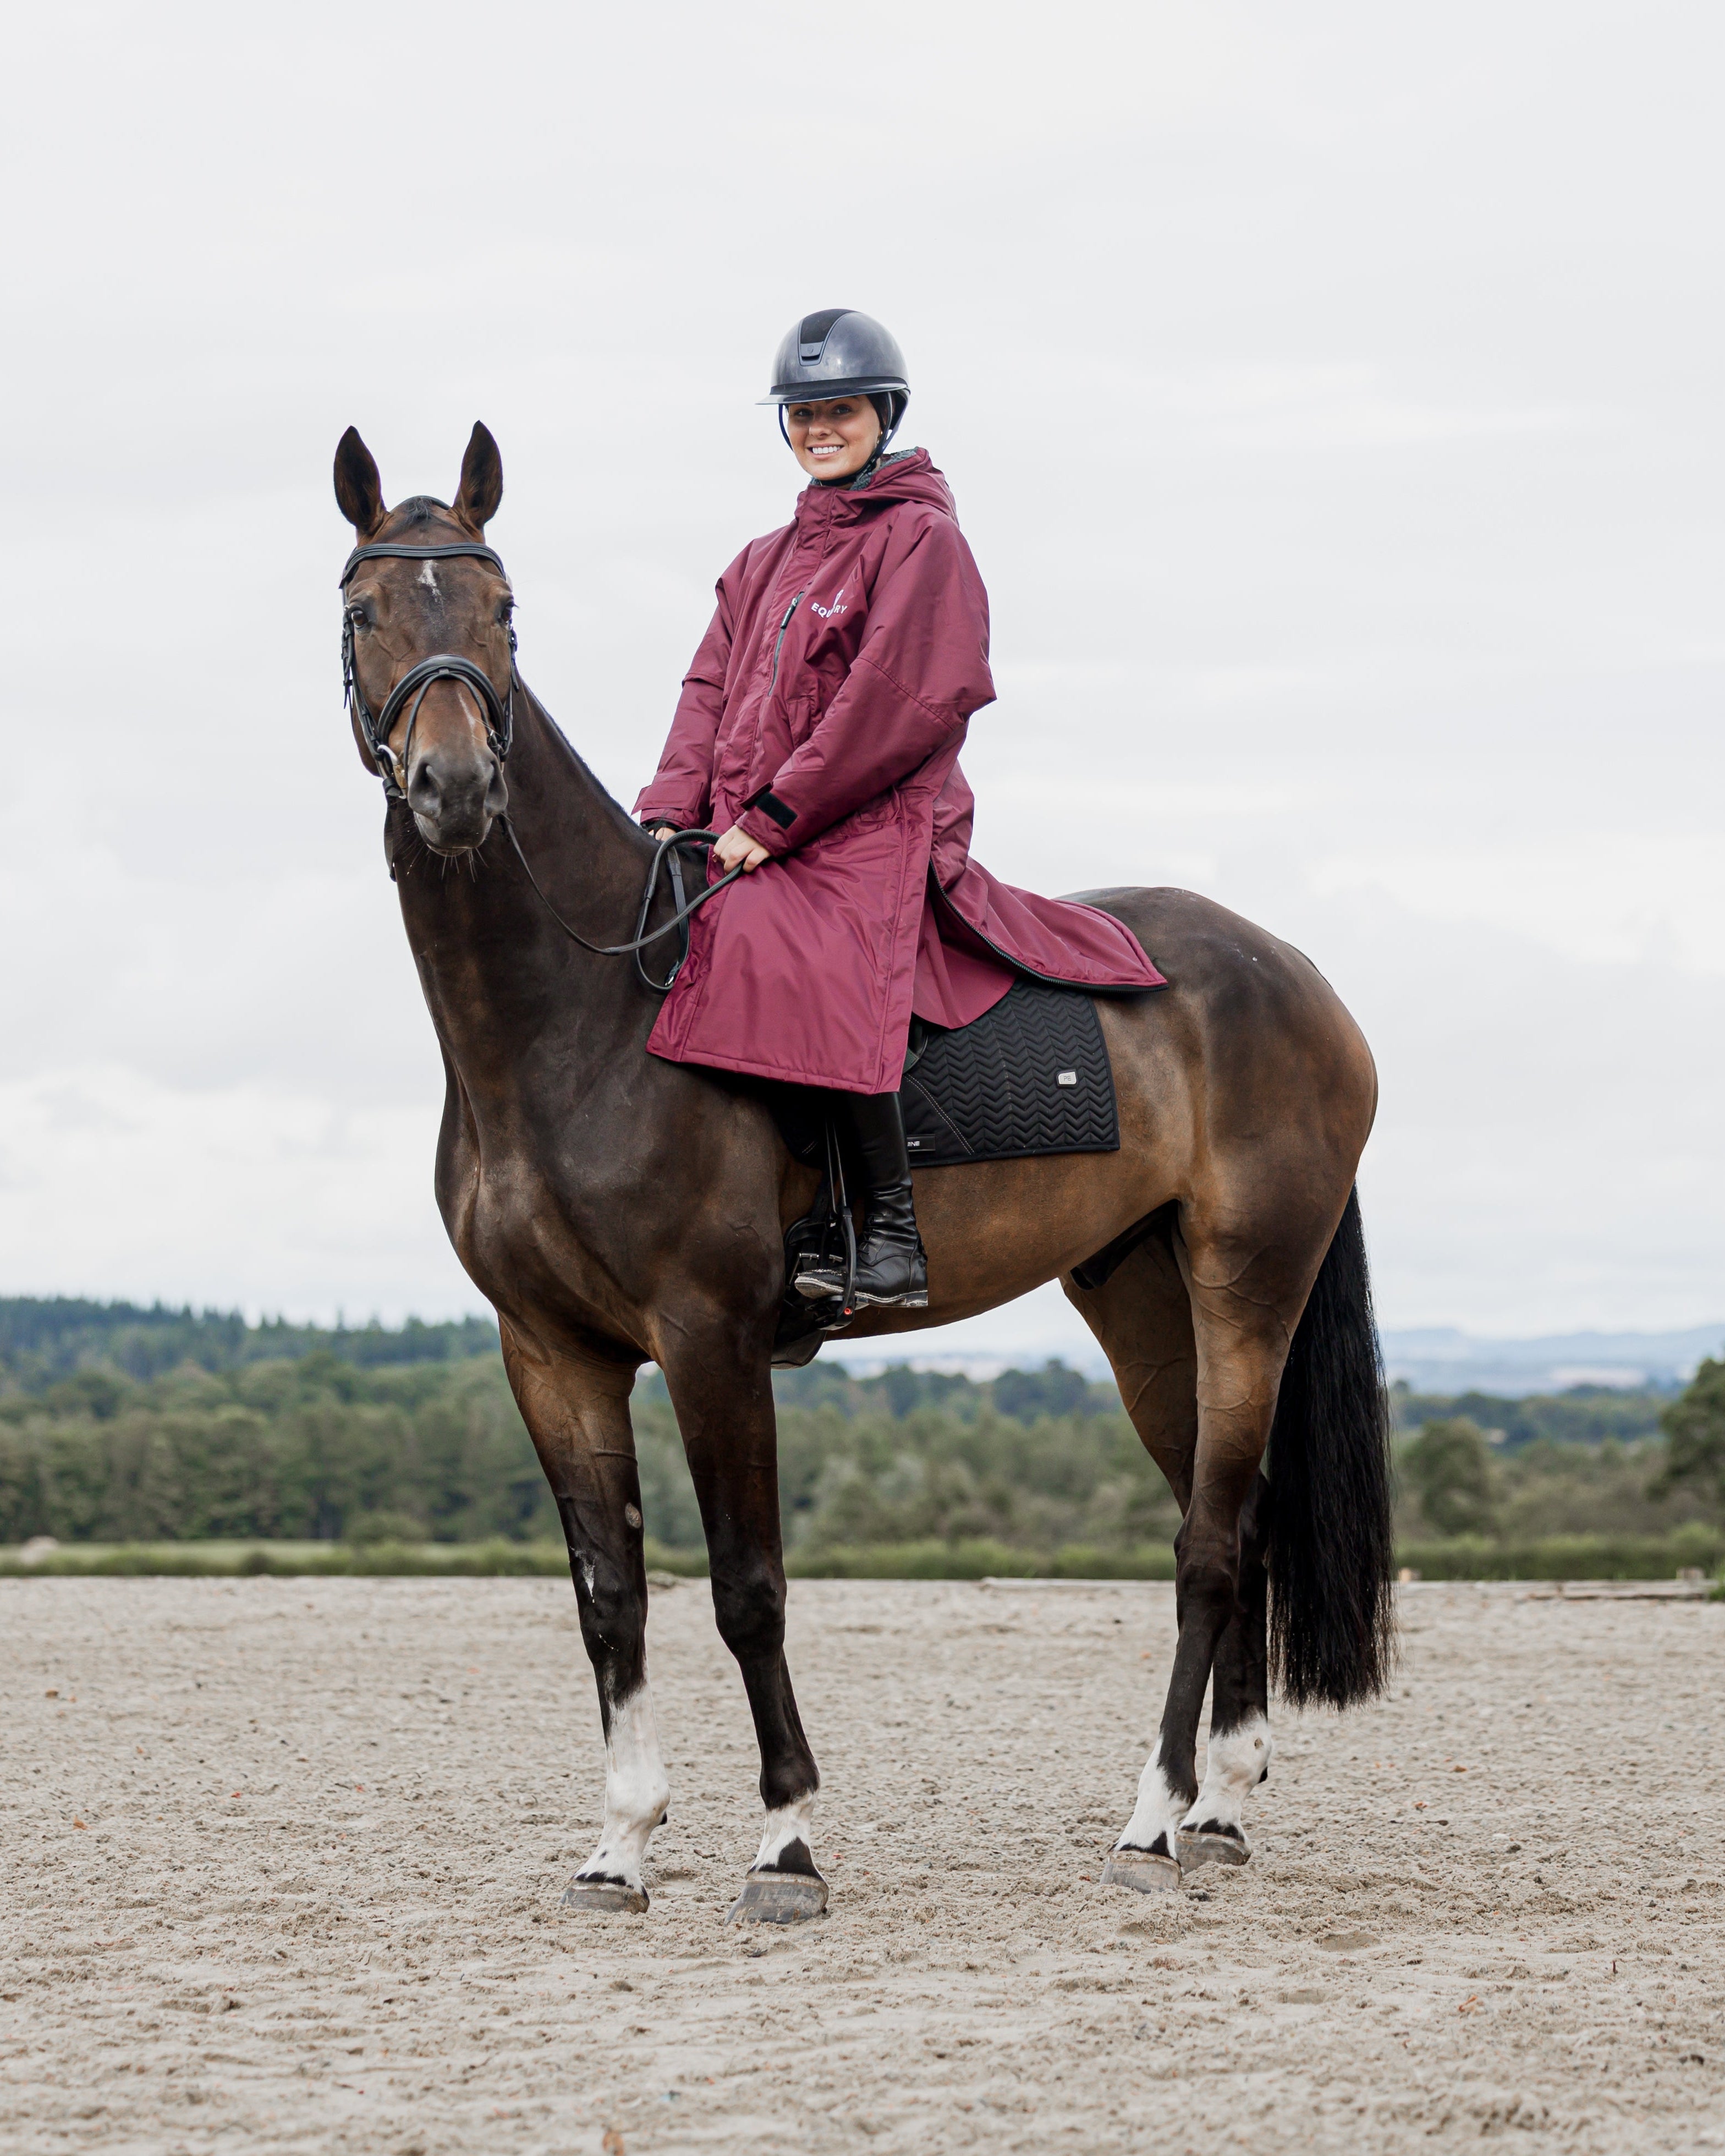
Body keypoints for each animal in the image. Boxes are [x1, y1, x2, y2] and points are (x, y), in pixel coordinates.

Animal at [331, 421, 1394, 1922]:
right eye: (365, 611)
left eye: (504, 611)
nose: (457, 787)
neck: (581, 1017)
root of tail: (1291, 971)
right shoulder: (549, 1351)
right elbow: (610, 1593)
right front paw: (620, 1843)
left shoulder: (709, 1335)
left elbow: (746, 1586)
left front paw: (784, 1840)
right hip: (1142, 1301)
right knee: (1228, 1522)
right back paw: (1218, 1808)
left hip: (1251, 1284)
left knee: (1205, 1543)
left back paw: (1147, 1822)